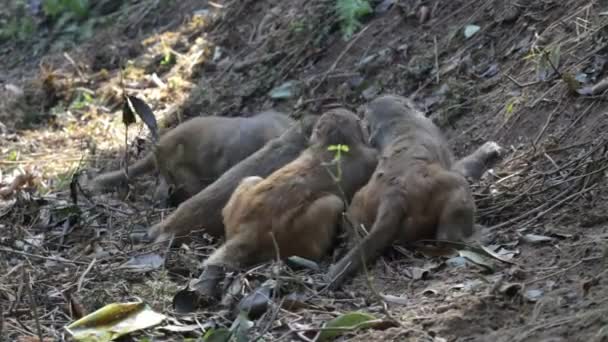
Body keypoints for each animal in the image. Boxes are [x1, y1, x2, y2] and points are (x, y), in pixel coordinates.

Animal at [192, 107, 378, 302]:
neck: (336, 143)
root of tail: (247, 233)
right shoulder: (370, 157)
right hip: (300, 229)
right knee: (331, 205)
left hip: (243, 198)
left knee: (251, 180)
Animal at [328, 94, 504, 288]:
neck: (397, 122)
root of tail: (393, 197)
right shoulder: (450, 161)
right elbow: (465, 164)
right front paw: (488, 149)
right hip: (454, 187)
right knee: (447, 236)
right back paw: (481, 236)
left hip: (358, 202)